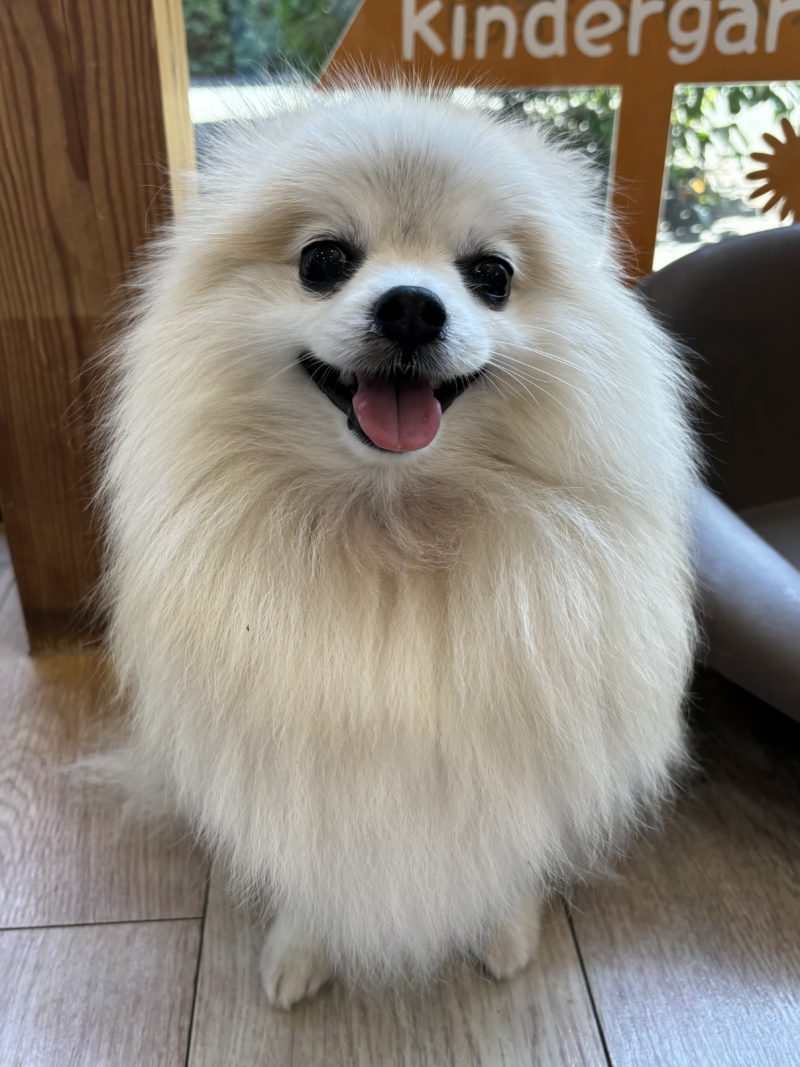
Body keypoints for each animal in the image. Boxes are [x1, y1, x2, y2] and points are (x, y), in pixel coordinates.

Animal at [101, 85, 696, 1009]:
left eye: (491, 275)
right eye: (323, 260)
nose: (413, 305)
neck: (395, 526)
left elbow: (506, 847)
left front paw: (505, 930)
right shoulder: (299, 761)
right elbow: (311, 863)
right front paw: (301, 947)